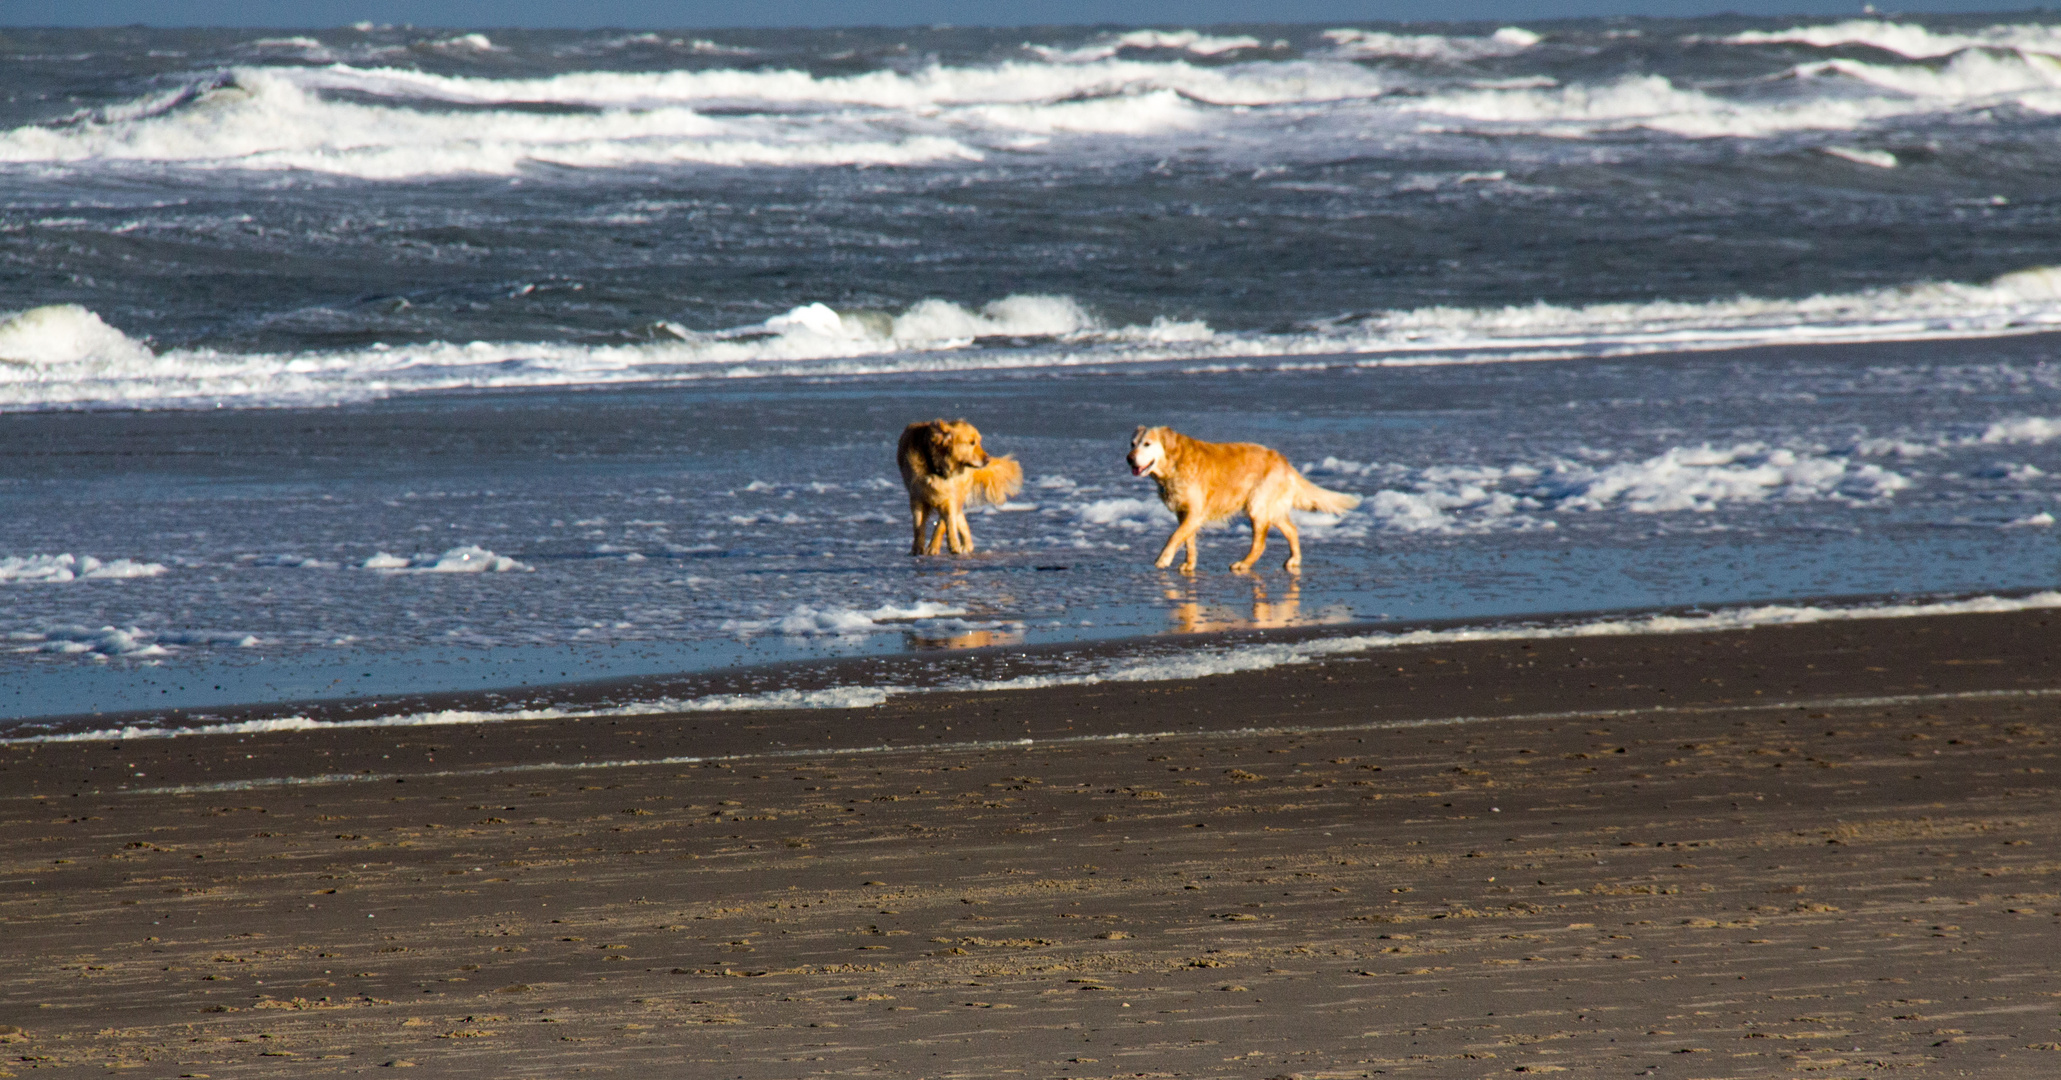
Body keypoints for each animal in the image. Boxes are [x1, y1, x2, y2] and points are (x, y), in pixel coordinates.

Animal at [894, 420, 1022, 560]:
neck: (936, 468)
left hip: (959, 492)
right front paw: (917, 549)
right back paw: (966, 545)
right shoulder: (917, 498)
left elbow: (945, 523)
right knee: (959, 518)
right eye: (972, 442)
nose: (987, 460)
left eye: (979, 442)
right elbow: (918, 526)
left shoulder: (949, 496)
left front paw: (944, 546)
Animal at [1121, 426, 1360, 572]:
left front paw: (1163, 559)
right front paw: (1189, 564)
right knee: (1292, 530)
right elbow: (1187, 541)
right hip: (1269, 507)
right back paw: (1294, 560)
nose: (1129, 458)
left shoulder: (1195, 512)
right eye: (1132, 443)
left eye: (1147, 444)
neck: (1175, 463)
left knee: (1260, 544)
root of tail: (1284, 461)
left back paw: (1243, 564)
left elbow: (1174, 536)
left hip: (1257, 505)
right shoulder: (1184, 513)